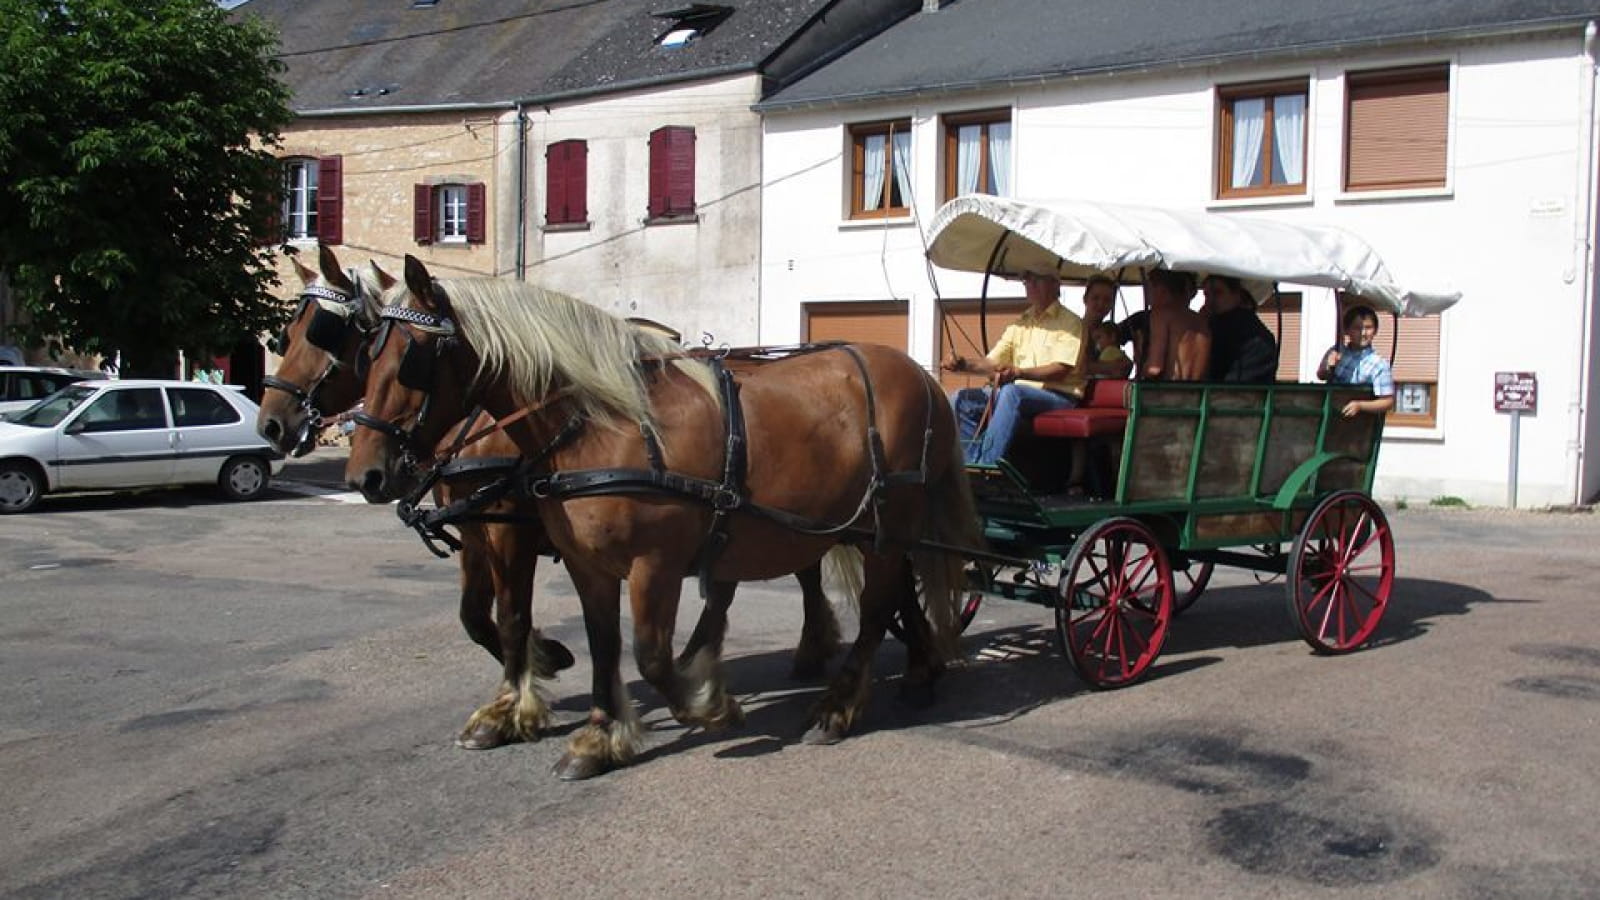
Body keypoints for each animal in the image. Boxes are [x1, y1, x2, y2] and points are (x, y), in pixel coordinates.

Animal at [256, 245, 844, 749]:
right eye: (287, 333)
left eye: (330, 334)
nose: (271, 425)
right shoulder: (477, 529)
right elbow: (475, 616)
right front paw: (540, 667)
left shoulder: (509, 530)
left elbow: (511, 616)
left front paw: (520, 696)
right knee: (746, 581)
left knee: (803, 570)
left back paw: (807, 652)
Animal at [344, 254, 979, 778]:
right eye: (365, 354)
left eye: (412, 360)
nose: (364, 476)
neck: (601, 426)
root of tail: (922, 375)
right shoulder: (580, 563)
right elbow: (596, 643)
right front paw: (598, 736)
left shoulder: (651, 563)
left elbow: (645, 655)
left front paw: (707, 704)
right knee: (885, 594)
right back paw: (915, 670)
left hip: (885, 528)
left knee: (875, 608)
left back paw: (839, 705)